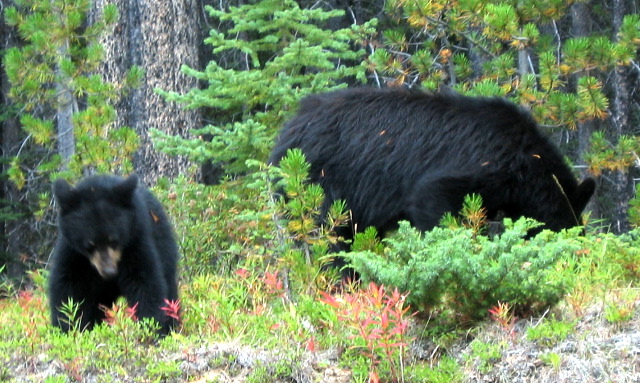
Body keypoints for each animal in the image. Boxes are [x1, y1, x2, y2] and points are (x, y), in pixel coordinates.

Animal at [48, 176, 179, 334]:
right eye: (89, 245)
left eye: (114, 241)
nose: (109, 272)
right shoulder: (73, 253)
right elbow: (69, 288)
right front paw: (68, 328)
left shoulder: (135, 241)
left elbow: (145, 282)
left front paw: (150, 327)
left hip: (164, 245)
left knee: (169, 288)